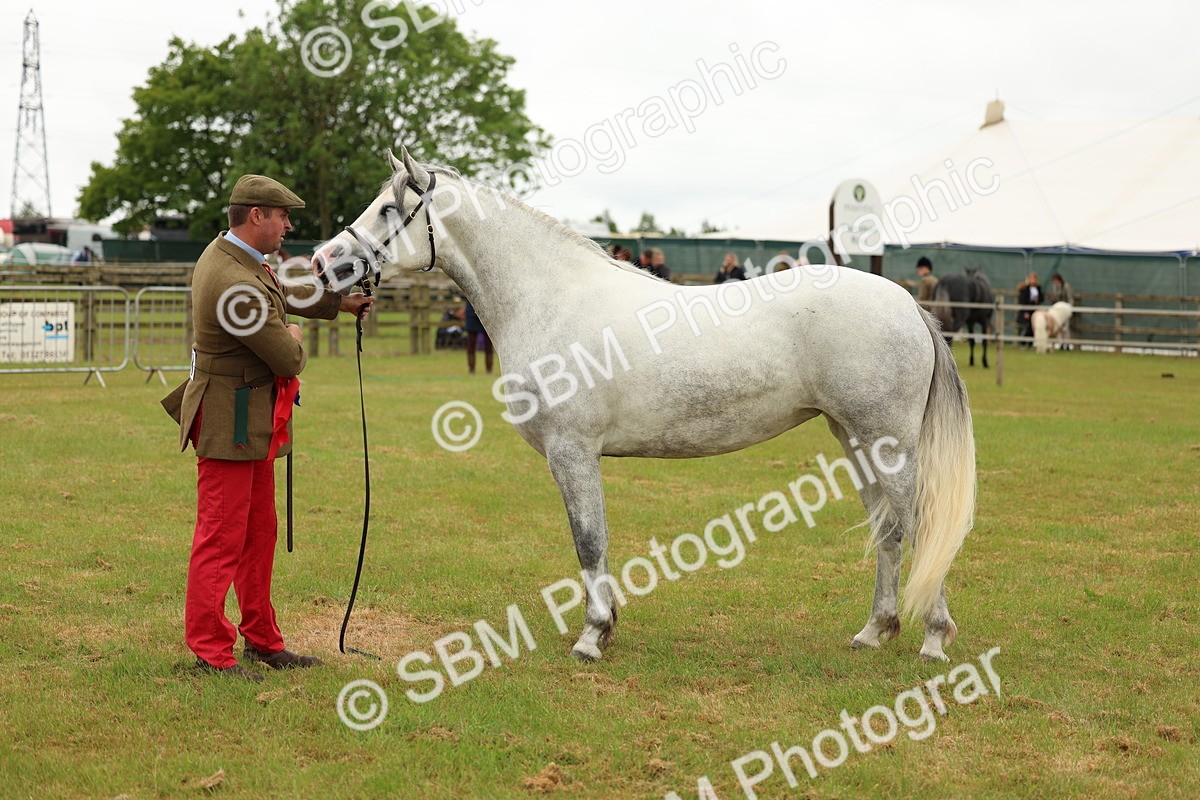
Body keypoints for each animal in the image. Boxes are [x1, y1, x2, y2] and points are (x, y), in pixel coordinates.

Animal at [311, 148, 976, 662]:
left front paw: (590, 637)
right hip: (854, 439)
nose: (322, 261)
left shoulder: (572, 450)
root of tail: (907, 304)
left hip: (887, 441)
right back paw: (875, 631)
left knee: (919, 523)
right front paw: (605, 627)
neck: (554, 298)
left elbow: (588, 540)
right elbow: (595, 540)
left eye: (389, 209)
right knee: (889, 529)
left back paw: (933, 638)